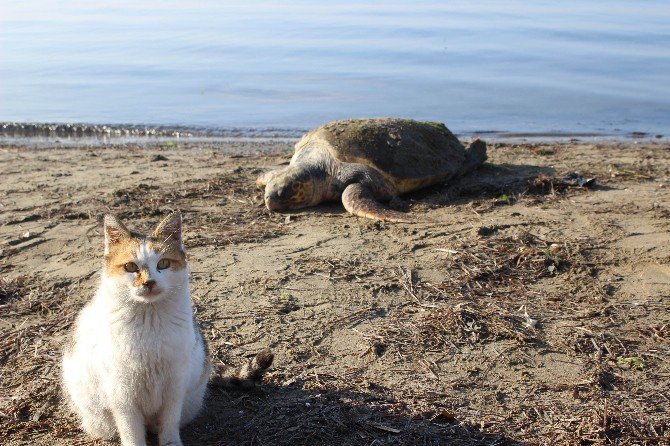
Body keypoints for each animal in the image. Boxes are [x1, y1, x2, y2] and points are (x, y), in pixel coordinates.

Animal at [61, 213, 272, 446]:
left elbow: (169, 421)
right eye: (130, 267)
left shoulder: (174, 384)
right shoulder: (122, 394)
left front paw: (170, 442)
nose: (149, 282)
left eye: (163, 263)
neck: (150, 320)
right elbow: (132, 431)